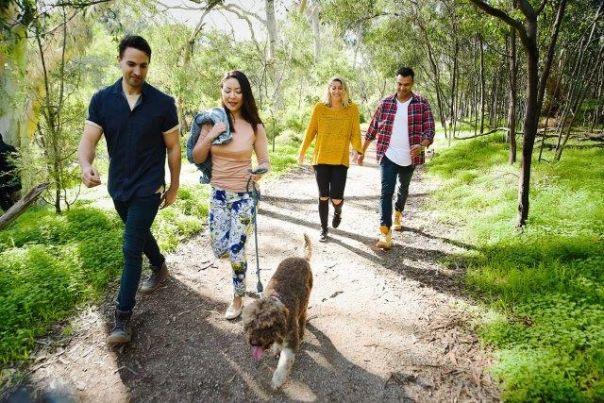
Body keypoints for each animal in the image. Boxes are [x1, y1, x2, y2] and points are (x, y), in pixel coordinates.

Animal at [243, 235, 314, 390]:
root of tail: (301, 258)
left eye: (267, 326)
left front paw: (277, 380)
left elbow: (285, 363)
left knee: (303, 317)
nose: (253, 343)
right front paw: (276, 348)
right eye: (251, 325)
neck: (277, 300)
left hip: (305, 302)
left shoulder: (290, 342)